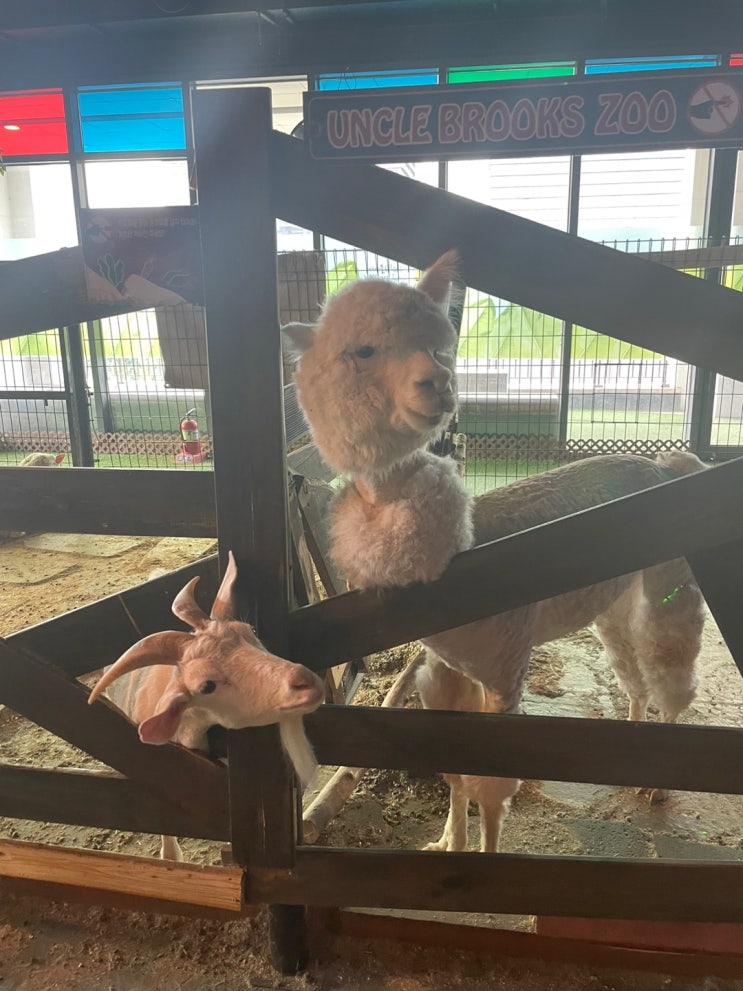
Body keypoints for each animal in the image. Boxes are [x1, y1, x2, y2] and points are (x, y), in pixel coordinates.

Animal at [282, 251, 706, 852]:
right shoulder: (448, 669)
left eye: (440, 346)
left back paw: (662, 786)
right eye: (362, 351)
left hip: (668, 581)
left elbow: (491, 779)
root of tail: (667, 466)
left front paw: (486, 857)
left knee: (671, 668)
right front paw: (447, 844)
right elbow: (457, 773)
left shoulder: (504, 665)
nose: (436, 384)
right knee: (635, 674)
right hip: (615, 602)